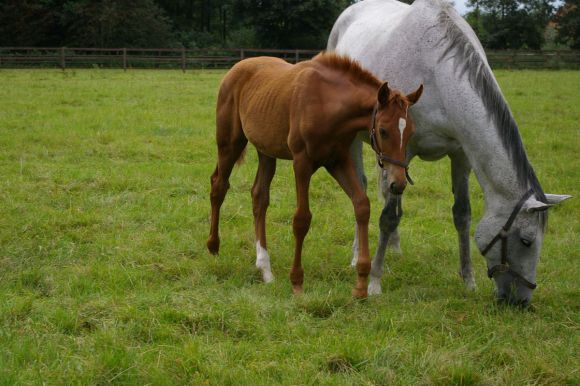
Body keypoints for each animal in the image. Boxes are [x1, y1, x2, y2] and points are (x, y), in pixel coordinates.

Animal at [207, 52, 422, 298]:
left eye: (411, 132)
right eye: (384, 131)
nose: (398, 183)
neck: (326, 103)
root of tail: (236, 67)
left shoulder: (338, 161)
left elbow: (362, 205)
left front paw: (361, 283)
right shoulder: (302, 163)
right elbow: (302, 219)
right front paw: (297, 282)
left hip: (266, 150)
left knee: (259, 197)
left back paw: (264, 268)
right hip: (229, 142)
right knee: (219, 186)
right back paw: (213, 246)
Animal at [328, 0, 568, 308]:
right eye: (526, 241)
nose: (521, 302)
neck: (434, 73)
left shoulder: (460, 156)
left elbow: (462, 215)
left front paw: (468, 281)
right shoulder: (402, 152)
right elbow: (388, 217)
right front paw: (375, 282)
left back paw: (394, 247)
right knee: (362, 192)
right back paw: (358, 255)